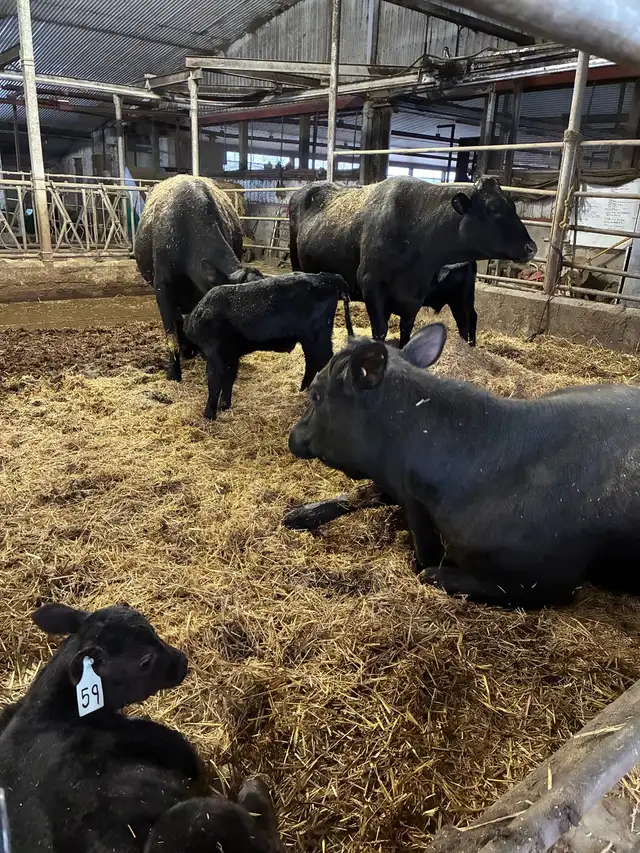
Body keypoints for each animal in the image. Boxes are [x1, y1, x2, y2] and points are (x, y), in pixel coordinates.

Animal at [182, 272, 354, 420]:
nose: (184, 354)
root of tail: (325, 276)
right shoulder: (231, 355)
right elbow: (229, 378)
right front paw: (224, 405)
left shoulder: (215, 353)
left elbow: (214, 381)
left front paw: (209, 414)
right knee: (313, 364)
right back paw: (304, 391)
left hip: (316, 339)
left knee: (322, 362)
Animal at [286, 323, 640, 609]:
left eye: (315, 394)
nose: (293, 436)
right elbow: (361, 493)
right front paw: (298, 514)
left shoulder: (547, 580)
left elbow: (429, 573)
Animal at [289, 176, 535, 347]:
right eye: (493, 208)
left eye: (513, 206)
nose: (531, 247)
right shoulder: (371, 286)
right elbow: (379, 332)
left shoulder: (414, 298)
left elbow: (405, 333)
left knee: (467, 319)